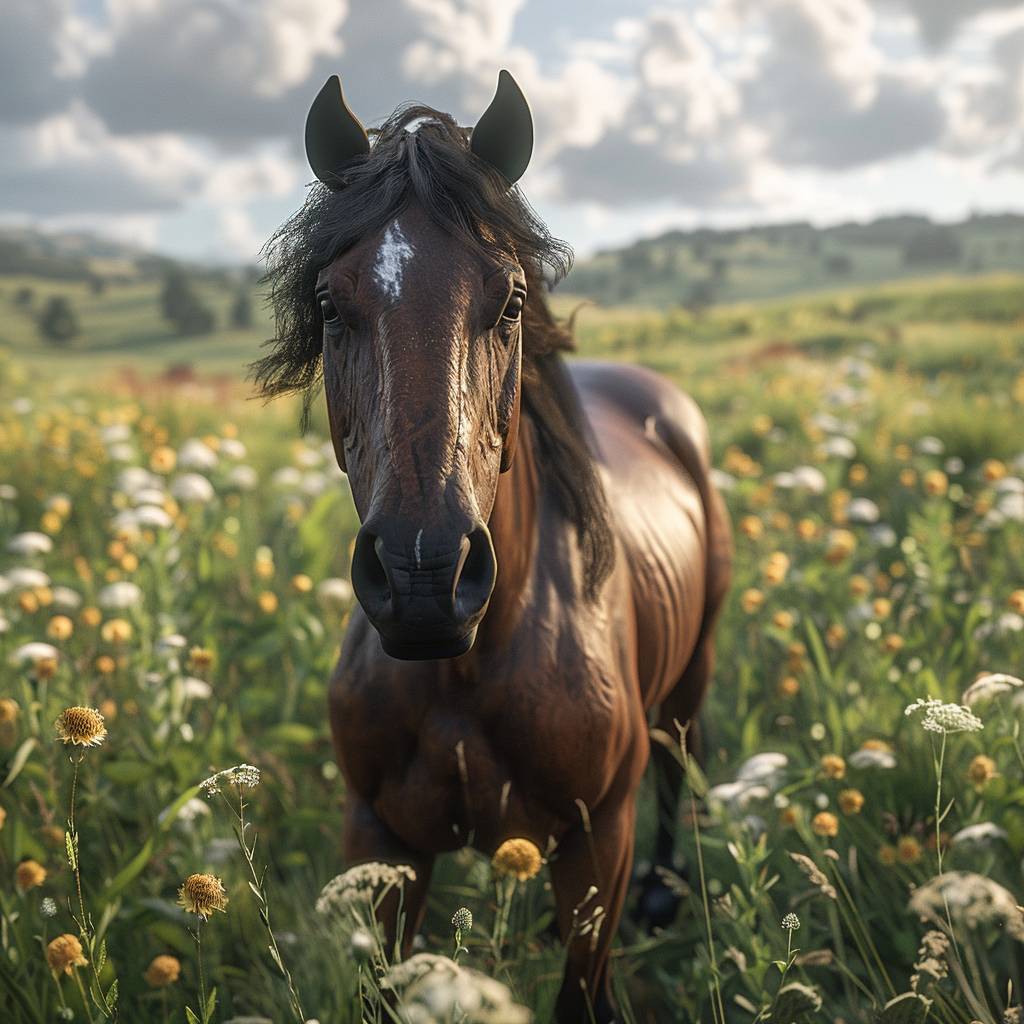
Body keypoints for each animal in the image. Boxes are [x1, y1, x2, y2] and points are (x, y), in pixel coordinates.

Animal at [260, 72, 733, 1024]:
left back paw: (665, 894)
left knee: (679, 764)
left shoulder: (599, 844)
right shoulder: (381, 844)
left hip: (692, 670)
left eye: (510, 300)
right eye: (330, 304)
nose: (424, 576)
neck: (470, 667)